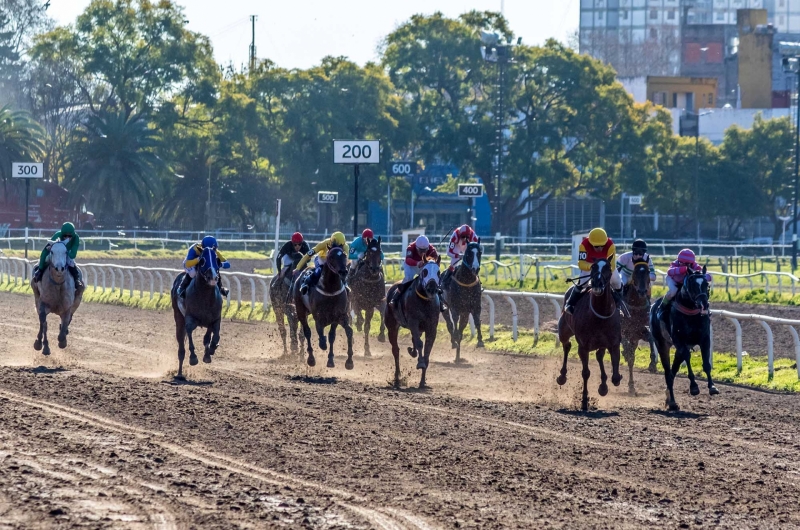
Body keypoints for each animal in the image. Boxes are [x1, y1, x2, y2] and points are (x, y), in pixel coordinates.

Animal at [170, 245, 223, 378]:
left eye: (217, 260)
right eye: (202, 260)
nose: (213, 277)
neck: (205, 296)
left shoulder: (215, 319)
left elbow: (214, 336)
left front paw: (210, 351)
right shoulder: (190, 319)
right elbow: (189, 333)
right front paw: (193, 358)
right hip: (178, 317)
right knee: (181, 347)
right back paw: (179, 374)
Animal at [384, 256, 440, 388]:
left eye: (438, 272)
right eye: (424, 271)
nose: (432, 288)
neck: (425, 301)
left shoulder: (432, 327)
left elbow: (427, 349)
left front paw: (422, 381)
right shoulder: (413, 322)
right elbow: (420, 344)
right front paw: (420, 363)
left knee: (414, 340)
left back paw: (412, 352)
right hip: (391, 326)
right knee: (396, 350)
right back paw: (397, 378)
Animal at [560, 258, 620, 410]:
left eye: (608, 268)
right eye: (593, 268)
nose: (597, 284)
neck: (599, 314)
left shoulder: (614, 343)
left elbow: (616, 376)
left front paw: (605, 386)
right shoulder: (583, 347)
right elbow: (586, 373)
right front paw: (584, 401)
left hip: (601, 343)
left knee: (599, 356)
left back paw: (603, 386)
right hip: (563, 330)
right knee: (566, 346)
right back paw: (562, 376)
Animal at [620, 260, 656, 392]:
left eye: (648, 271)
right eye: (635, 272)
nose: (642, 291)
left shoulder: (641, 331)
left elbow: (651, 338)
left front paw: (653, 364)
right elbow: (629, 354)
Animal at [648, 266, 720, 410]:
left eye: (706, 284)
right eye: (692, 285)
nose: (704, 304)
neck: (691, 313)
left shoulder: (705, 339)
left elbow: (707, 364)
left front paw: (712, 387)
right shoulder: (679, 340)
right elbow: (687, 356)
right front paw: (694, 387)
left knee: (672, 372)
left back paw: (670, 400)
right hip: (662, 344)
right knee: (668, 373)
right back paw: (672, 402)